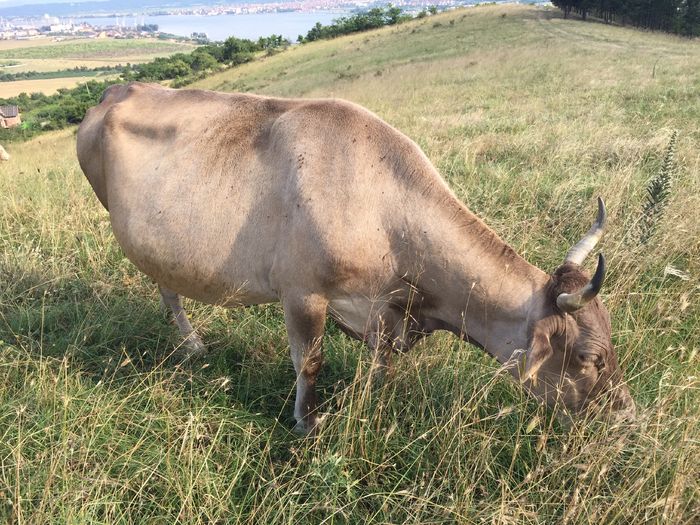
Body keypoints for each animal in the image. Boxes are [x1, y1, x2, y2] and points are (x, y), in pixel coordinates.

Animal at [75, 83, 636, 434]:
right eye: (588, 357)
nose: (628, 417)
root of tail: (119, 89)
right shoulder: (302, 292)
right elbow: (310, 362)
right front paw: (307, 423)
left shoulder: (384, 312)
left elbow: (381, 364)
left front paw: (372, 401)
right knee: (165, 288)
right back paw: (191, 344)